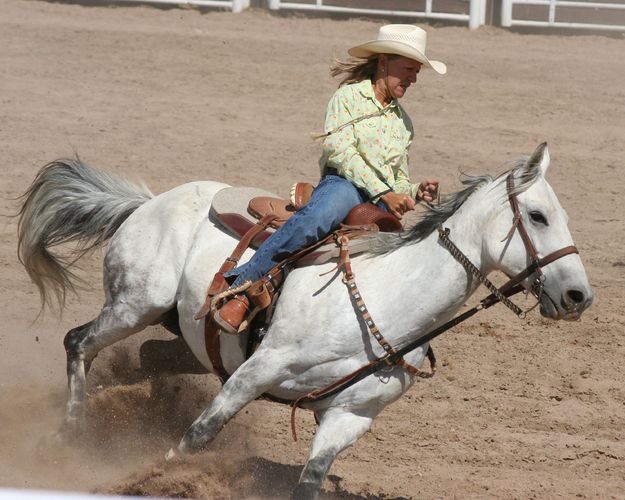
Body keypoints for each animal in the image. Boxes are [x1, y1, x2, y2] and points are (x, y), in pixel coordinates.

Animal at [14, 143, 588, 498]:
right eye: (537, 216)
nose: (579, 295)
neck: (387, 298)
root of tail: (149, 201)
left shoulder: (349, 417)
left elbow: (310, 481)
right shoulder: (256, 371)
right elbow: (199, 435)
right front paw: (152, 476)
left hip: (184, 338)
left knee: (145, 358)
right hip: (136, 303)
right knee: (77, 342)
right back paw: (69, 432)